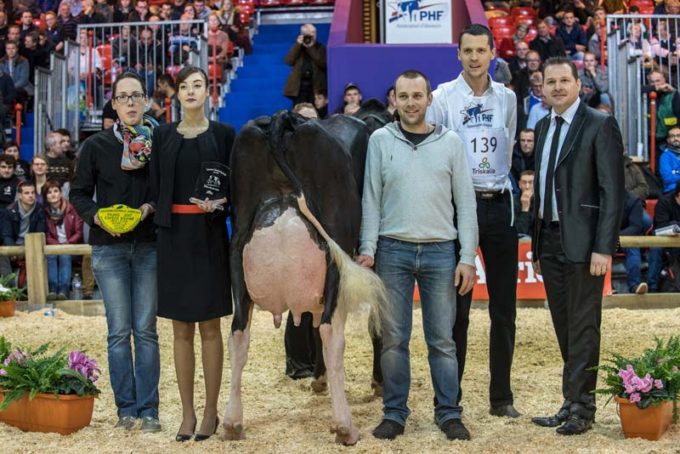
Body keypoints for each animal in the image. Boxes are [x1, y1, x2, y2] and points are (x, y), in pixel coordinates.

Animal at [224, 111, 388, 446]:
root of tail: (282, 119)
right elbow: (375, 324)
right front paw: (377, 383)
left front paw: (319, 379)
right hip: (336, 248)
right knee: (330, 333)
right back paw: (345, 427)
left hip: (238, 248)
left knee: (238, 332)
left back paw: (232, 422)